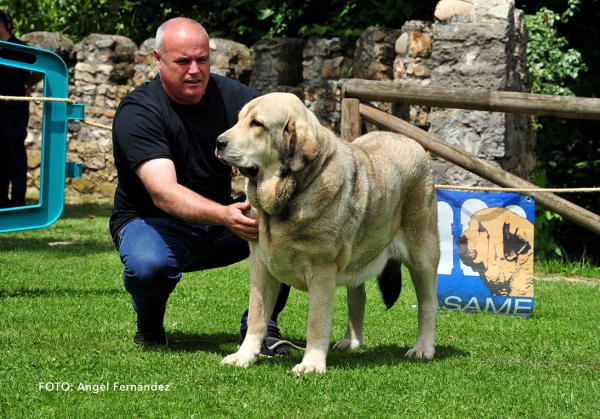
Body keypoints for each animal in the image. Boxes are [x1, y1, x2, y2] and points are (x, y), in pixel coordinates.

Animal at [216, 92, 440, 378]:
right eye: (239, 119)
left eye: (257, 124)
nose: (219, 142)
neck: (292, 193)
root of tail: (411, 140)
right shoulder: (260, 265)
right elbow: (257, 315)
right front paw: (244, 356)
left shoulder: (321, 272)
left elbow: (316, 321)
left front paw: (312, 363)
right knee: (357, 296)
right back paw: (351, 341)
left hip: (422, 255)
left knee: (428, 304)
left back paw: (423, 348)